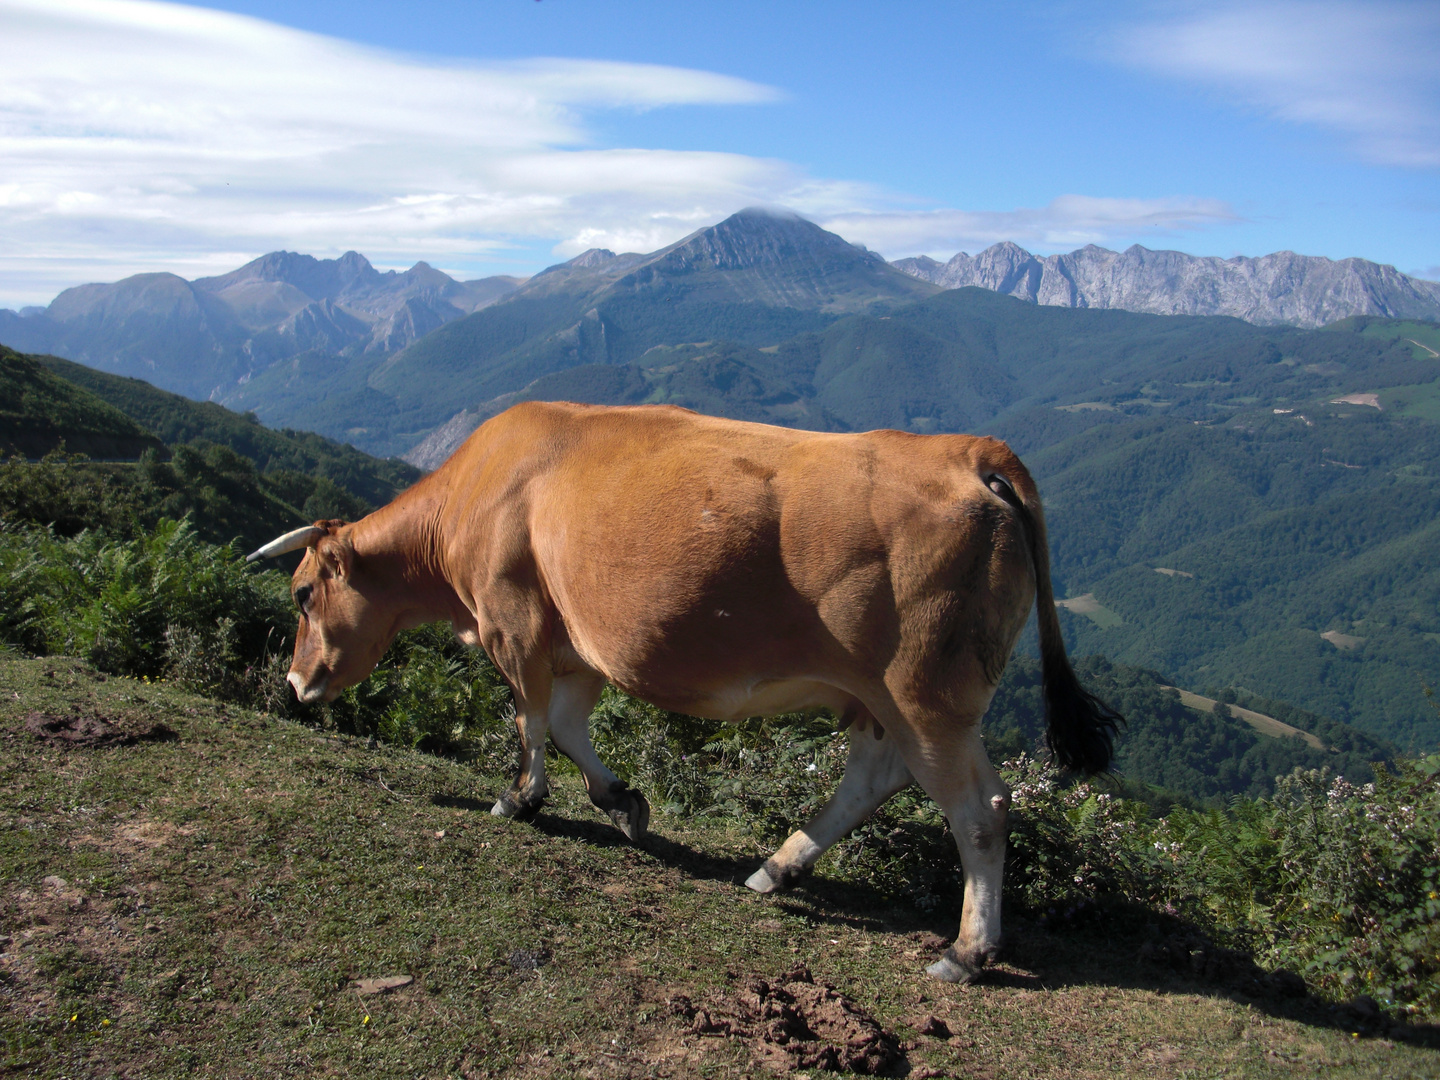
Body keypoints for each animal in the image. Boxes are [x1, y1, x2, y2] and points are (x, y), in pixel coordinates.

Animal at [253, 403, 1117, 979]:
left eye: (302, 593)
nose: (294, 682)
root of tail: (971, 451)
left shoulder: (512, 621)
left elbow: (529, 723)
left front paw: (520, 799)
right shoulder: (578, 643)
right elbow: (565, 727)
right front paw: (622, 803)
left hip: (924, 694)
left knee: (980, 809)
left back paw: (967, 951)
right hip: (887, 699)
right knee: (874, 779)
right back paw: (777, 868)